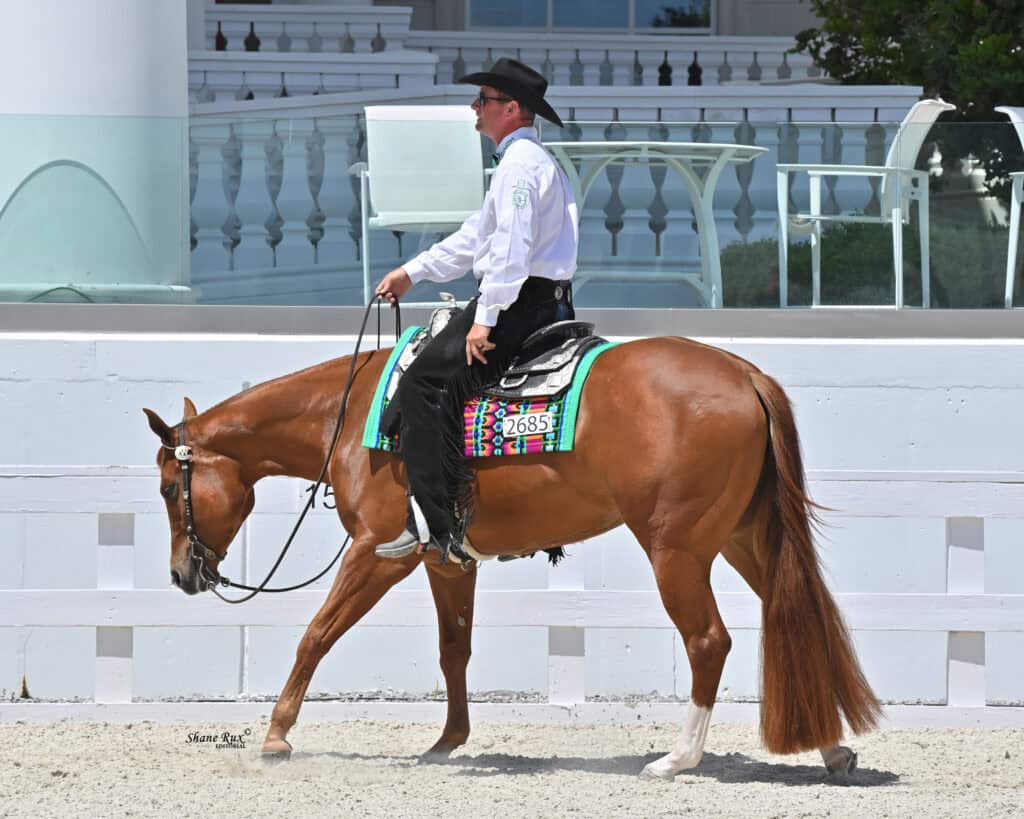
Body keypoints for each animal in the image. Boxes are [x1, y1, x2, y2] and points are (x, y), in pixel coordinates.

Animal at [143, 334, 880, 780]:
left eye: (168, 487)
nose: (180, 574)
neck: (348, 417)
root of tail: (746, 374)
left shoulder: (379, 553)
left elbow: (316, 634)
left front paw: (276, 735)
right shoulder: (447, 559)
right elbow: (454, 649)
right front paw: (446, 742)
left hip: (677, 548)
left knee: (708, 640)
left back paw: (678, 758)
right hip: (744, 539)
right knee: (795, 618)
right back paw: (832, 745)